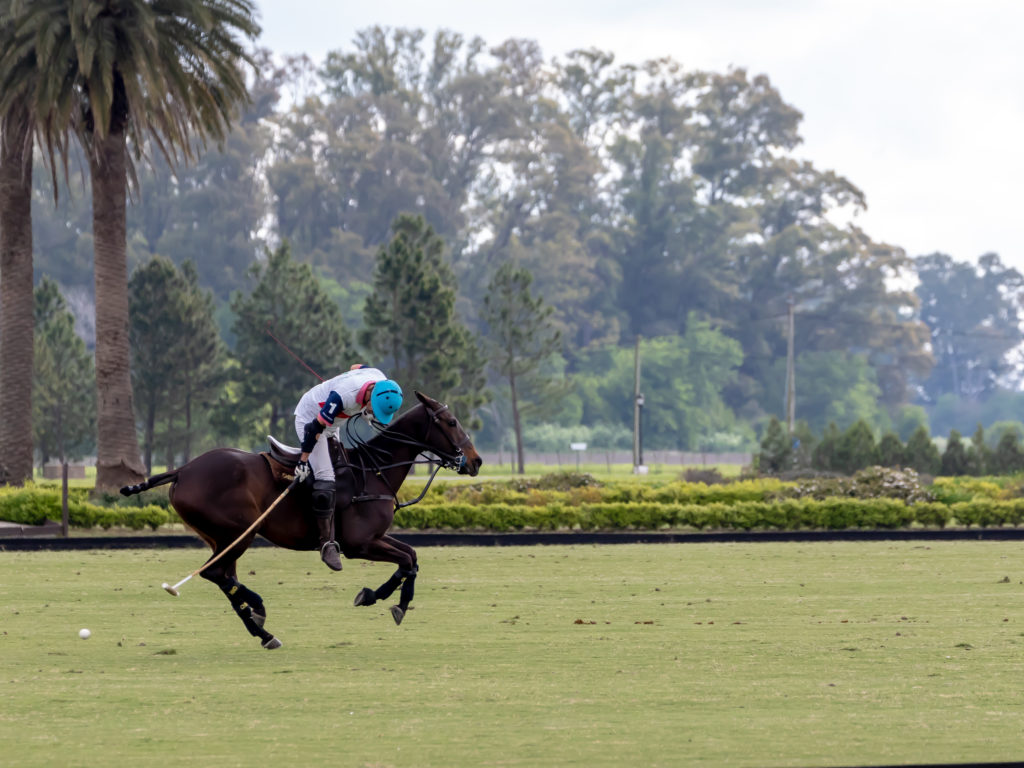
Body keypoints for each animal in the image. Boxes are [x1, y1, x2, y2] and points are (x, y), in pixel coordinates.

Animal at [120, 391, 483, 651]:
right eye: (451, 422)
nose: (476, 461)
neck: (374, 470)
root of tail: (182, 470)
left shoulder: (375, 538)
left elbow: (412, 557)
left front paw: (375, 596)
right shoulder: (360, 543)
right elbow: (407, 559)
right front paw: (391, 603)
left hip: (223, 538)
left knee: (223, 576)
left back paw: (262, 628)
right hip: (238, 532)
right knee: (215, 573)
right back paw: (259, 614)